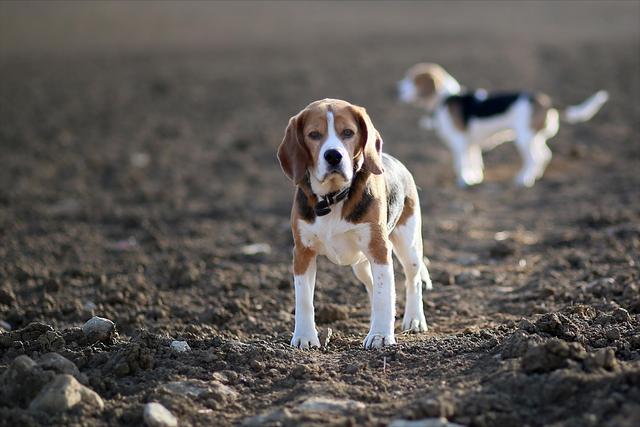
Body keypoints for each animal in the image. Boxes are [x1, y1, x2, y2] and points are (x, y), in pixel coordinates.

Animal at [398, 62, 608, 187]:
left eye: (413, 79)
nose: (395, 90)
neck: (446, 98)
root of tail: (545, 100)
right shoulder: (471, 144)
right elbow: (474, 162)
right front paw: (474, 179)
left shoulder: (459, 143)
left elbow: (460, 163)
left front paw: (463, 181)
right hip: (534, 137)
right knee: (545, 155)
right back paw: (535, 176)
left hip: (524, 138)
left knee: (535, 158)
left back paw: (523, 180)